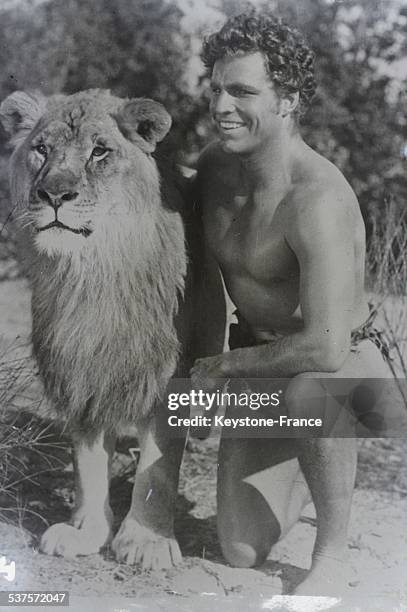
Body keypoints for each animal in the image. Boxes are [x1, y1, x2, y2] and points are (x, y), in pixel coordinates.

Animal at [0, 89, 225, 568]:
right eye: (41, 148)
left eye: (99, 151)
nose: (54, 193)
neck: (95, 273)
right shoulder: (79, 362)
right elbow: (87, 461)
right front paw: (86, 533)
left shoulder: (167, 371)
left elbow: (159, 465)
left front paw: (145, 540)